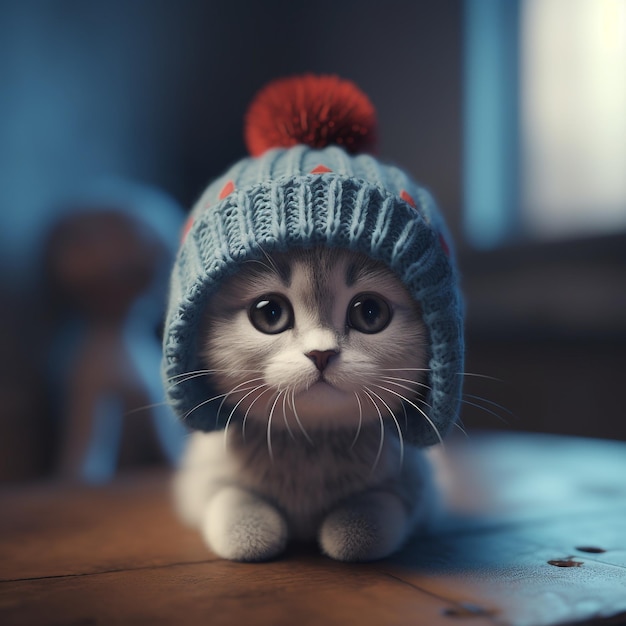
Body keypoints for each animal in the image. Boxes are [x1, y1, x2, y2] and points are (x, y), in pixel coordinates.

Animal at [171, 245, 434, 560]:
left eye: (370, 312)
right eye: (270, 313)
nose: (321, 354)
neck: (310, 438)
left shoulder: (419, 484)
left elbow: (380, 510)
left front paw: (351, 527)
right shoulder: (198, 477)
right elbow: (227, 497)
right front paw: (250, 530)